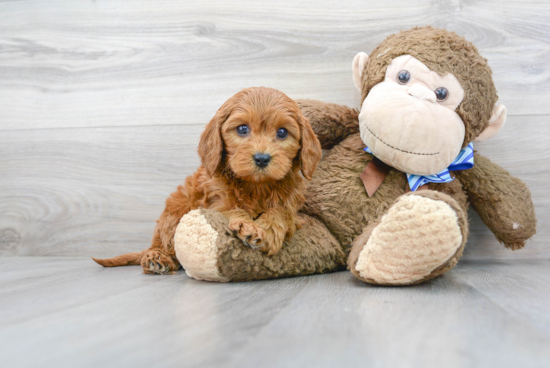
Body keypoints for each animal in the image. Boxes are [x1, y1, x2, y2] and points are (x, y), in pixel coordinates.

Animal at [91, 87, 324, 274]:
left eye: (282, 132)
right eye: (242, 129)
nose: (262, 158)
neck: (255, 186)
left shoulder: (294, 210)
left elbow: (281, 212)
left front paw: (267, 230)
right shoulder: (215, 202)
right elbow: (232, 210)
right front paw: (248, 225)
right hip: (174, 213)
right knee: (163, 244)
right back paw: (157, 258)